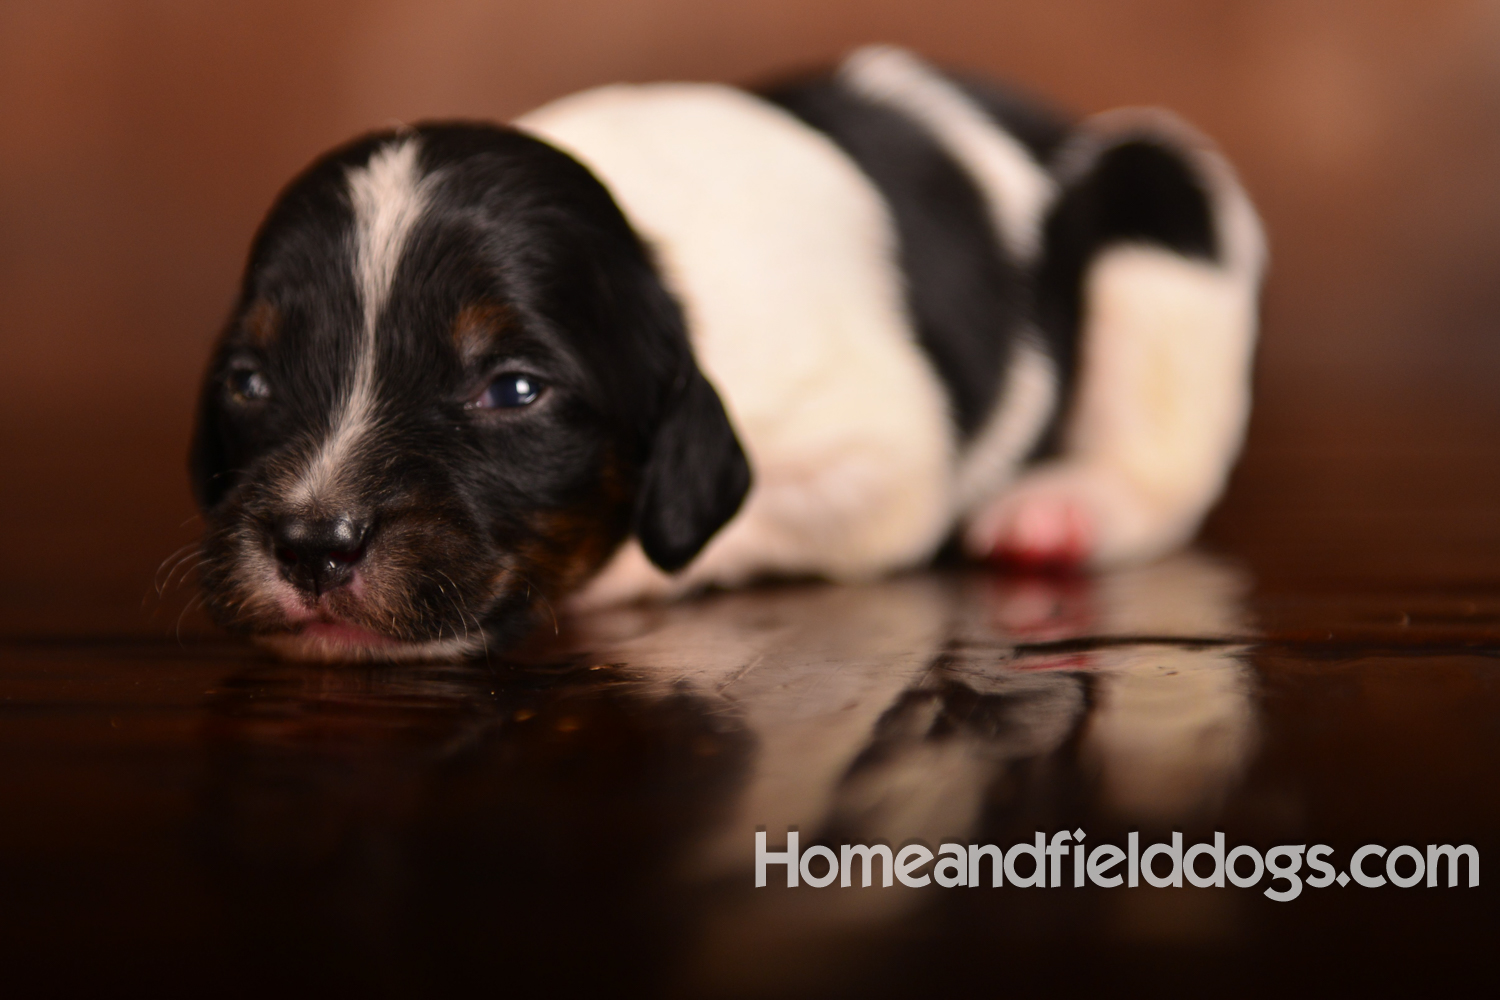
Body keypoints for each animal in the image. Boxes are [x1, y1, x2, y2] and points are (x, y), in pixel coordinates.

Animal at [190, 46, 1266, 659]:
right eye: (250, 381)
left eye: (514, 389)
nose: (312, 545)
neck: (652, 251)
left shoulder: (883, 454)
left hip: (1159, 200)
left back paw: (1066, 509)